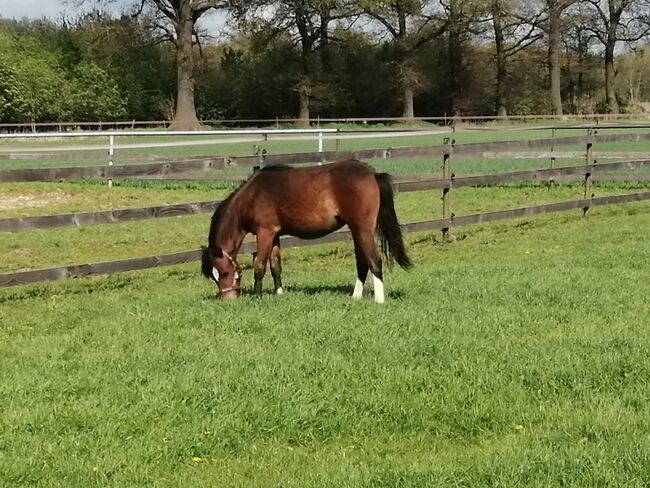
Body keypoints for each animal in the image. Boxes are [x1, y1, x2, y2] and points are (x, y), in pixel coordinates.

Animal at [200, 159, 410, 302]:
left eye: (223, 273)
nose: (228, 299)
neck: (253, 195)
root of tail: (373, 173)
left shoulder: (264, 232)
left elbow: (259, 266)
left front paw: (257, 296)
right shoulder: (274, 235)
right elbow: (276, 266)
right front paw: (279, 293)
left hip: (363, 229)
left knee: (375, 261)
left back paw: (379, 300)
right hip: (356, 230)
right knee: (362, 263)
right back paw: (355, 297)